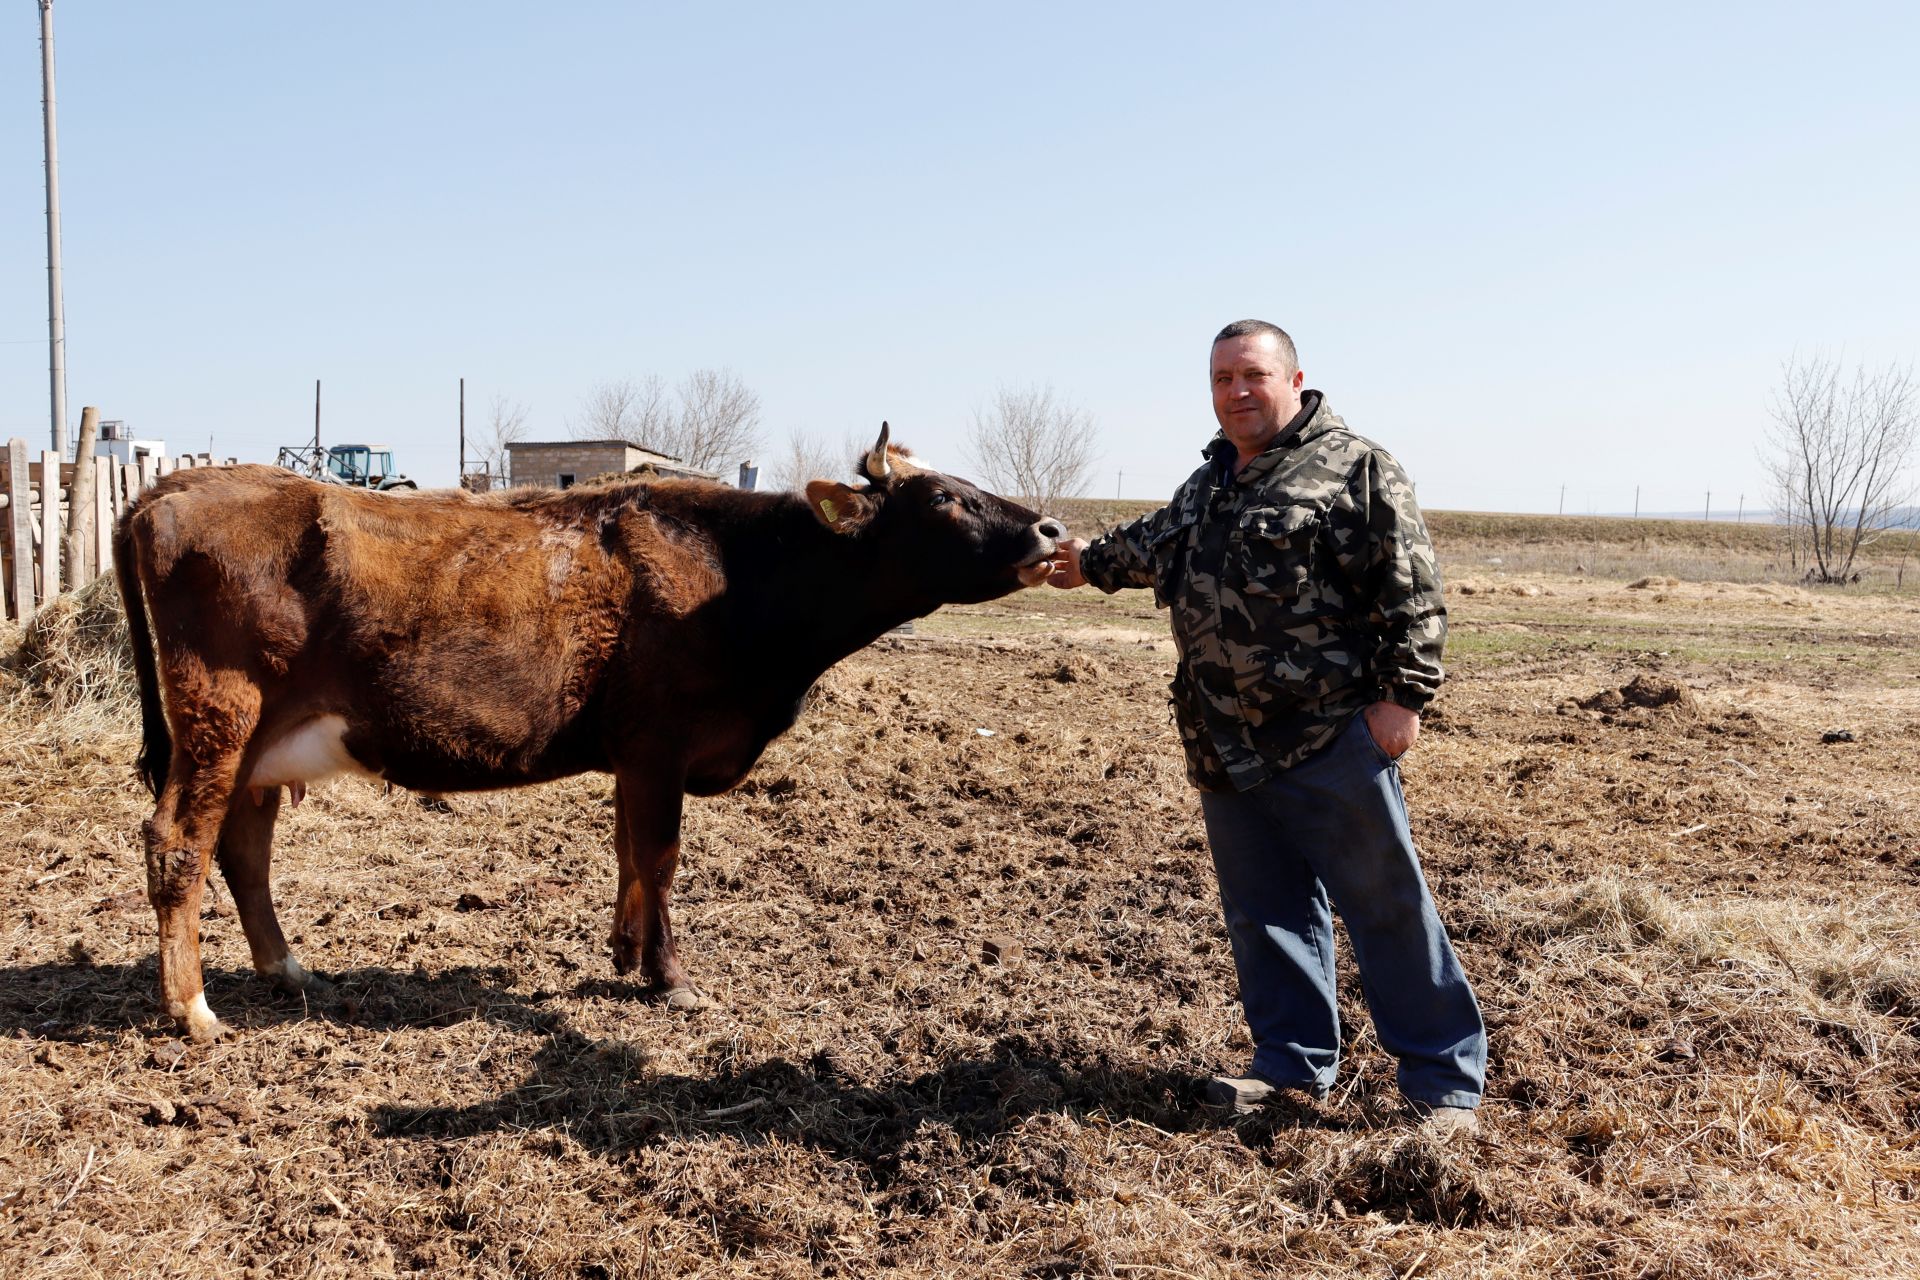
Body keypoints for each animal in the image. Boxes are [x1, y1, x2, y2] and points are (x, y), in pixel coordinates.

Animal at [116, 426, 1067, 1043]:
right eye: (942, 499)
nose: (1052, 529)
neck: (736, 575)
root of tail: (172, 487)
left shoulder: (634, 758)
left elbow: (626, 853)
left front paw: (623, 951)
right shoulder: (659, 748)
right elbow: (660, 857)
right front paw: (670, 979)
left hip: (260, 745)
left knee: (243, 848)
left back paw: (283, 967)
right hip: (220, 720)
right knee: (178, 842)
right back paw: (191, 1009)